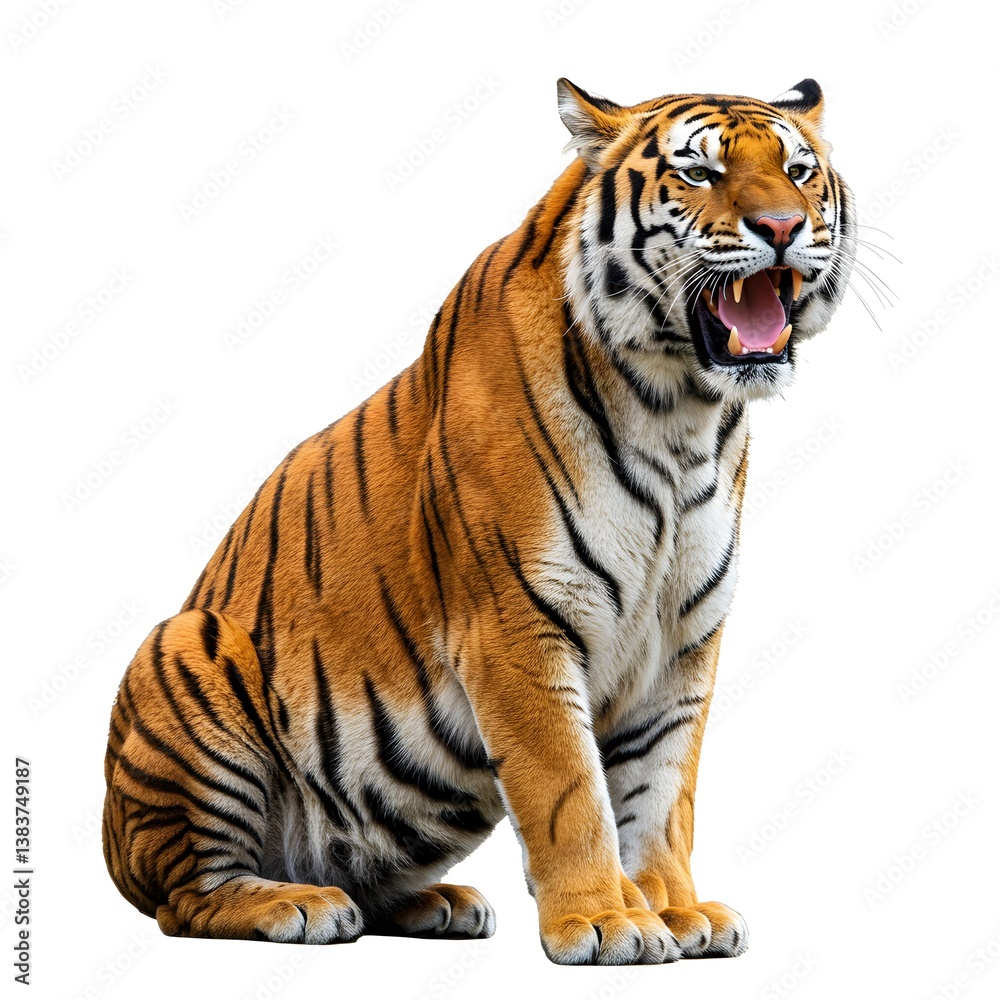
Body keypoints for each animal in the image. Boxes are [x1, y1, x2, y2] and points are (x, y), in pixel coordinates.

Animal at [103, 77, 854, 965]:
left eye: (799, 171)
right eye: (700, 173)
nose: (781, 228)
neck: (681, 413)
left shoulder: (683, 639)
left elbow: (664, 790)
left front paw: (675, 909)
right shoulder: (515, 623)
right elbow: (570, 791)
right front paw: (604, 921)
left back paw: (436, 903)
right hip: (186, 645)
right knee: (183, 897)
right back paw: (296, 903)